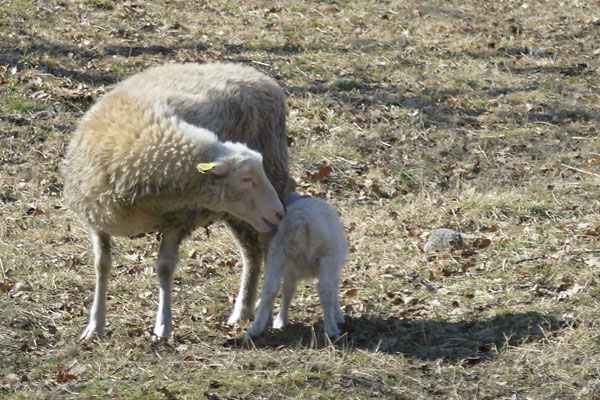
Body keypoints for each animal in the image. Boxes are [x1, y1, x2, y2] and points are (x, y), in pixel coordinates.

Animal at [63, 63, 290, 340]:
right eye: (247, 178)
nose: (278, 211)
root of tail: (258, 75)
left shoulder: (178, 218)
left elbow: (164, 268)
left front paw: (163, 325)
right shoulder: (97, 220)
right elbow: (101, 266)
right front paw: (95, 325)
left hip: (271, 183)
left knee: (268, 255)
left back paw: (262, 316)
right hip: (238, 214)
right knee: (251, 254)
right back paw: (242, 311)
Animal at [247, 192, 346, 340]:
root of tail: (304, 221)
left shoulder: (291, 270)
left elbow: (288, 290)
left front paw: (281, 319)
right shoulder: (335, 266)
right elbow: (335, 289)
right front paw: (339, 316)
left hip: (279, 251)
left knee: (270, 287)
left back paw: (256, 329)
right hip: (328, 254)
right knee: (325, 289)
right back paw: (332, 330)